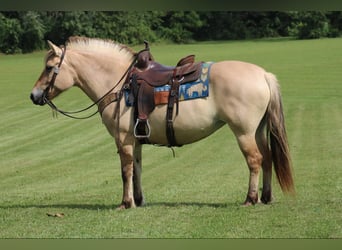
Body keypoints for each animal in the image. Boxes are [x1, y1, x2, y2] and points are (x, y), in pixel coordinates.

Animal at [29, 36, 294, 209]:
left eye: (49, 67)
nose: (33, 95)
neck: (119, 84)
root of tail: (263, 75)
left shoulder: (123, 140)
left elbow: (125, 170)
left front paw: (126, 203)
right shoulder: (135, 140)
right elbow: (137, 169)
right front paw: (138, 200)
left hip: (243, 132)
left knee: (255, 160)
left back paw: (250, 198)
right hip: (258, 130)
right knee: (267, 157)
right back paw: (266, 197)